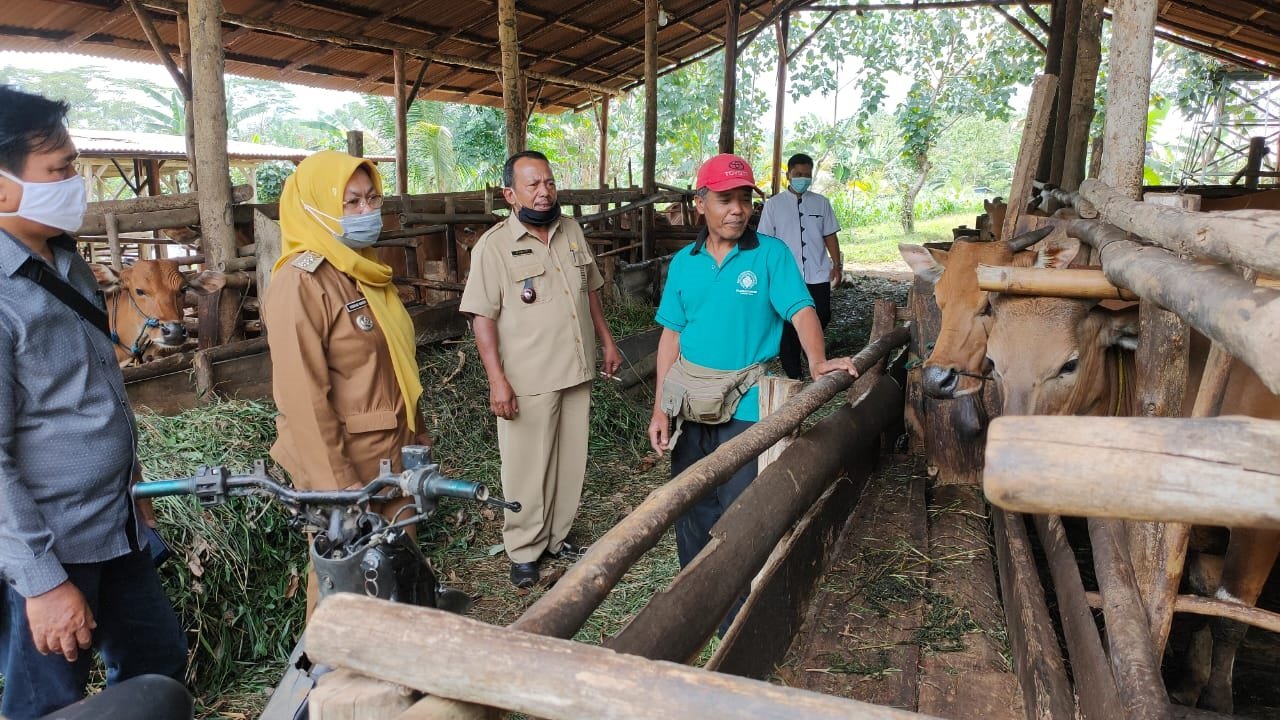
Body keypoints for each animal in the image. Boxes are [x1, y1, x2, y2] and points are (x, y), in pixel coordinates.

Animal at [983, 240, 1274, 712]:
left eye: (1069, 365)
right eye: (993, 361)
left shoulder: (1257, 535)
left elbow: (1230, 617)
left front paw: (1215, 698)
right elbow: (1198, 598)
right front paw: (1190, 680)